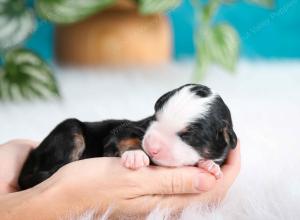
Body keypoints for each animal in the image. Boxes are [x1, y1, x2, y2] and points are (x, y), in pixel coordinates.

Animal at [18, 83, 237, 190]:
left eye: (188, 136)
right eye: (155, 118)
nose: (152, 147)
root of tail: (33, 156)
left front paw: (210, 166)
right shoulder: (126, 130)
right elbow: (124, 138)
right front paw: (136, 155)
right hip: (69, 130)